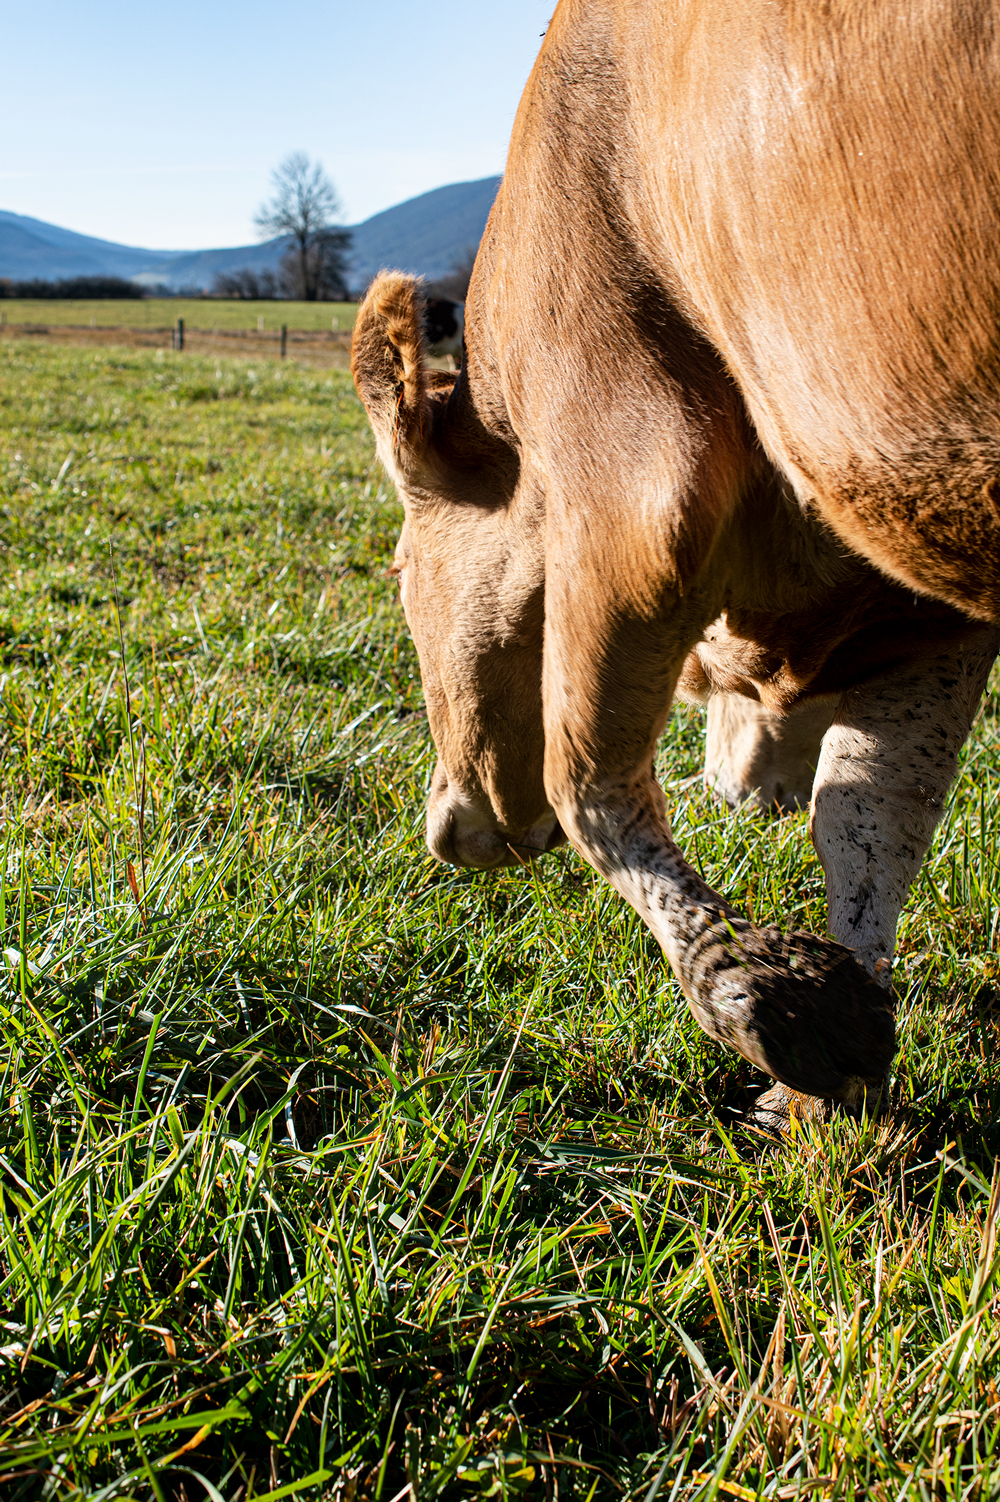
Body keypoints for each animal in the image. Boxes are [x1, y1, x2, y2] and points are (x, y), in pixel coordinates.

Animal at [352, 0, 996, 1129]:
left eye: (395, 572)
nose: (444, 827)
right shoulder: (928, 611)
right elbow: (872, 817)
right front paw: (821, 1094)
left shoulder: (632, 480)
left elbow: (586, 779)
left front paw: (769, 1001)